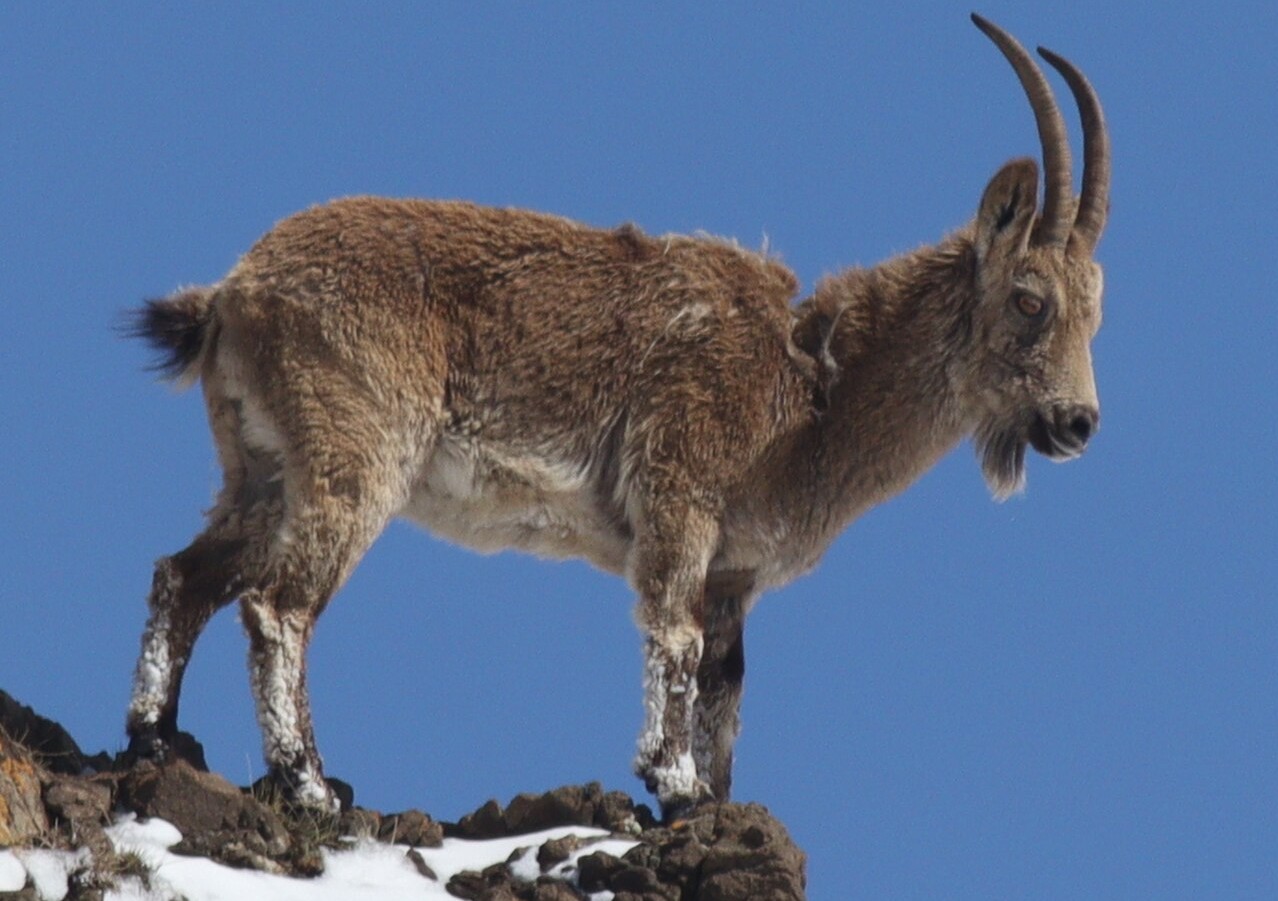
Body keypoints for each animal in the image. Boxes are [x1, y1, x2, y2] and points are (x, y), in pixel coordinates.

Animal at [125, 15, 1109, 819]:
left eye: (1098, 311)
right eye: (1029, 300)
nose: (1076, 422)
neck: (812, 393)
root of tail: (236, 292)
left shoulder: (734, 573)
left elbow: (726, 682)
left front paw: (709, 799)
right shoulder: (681, 492)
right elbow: (672, 634)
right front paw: (669, 778)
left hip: (262, 462)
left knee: (186, 574)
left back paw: (157, 735)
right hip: (355, 451)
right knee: (277, 603)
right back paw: (308, 783)